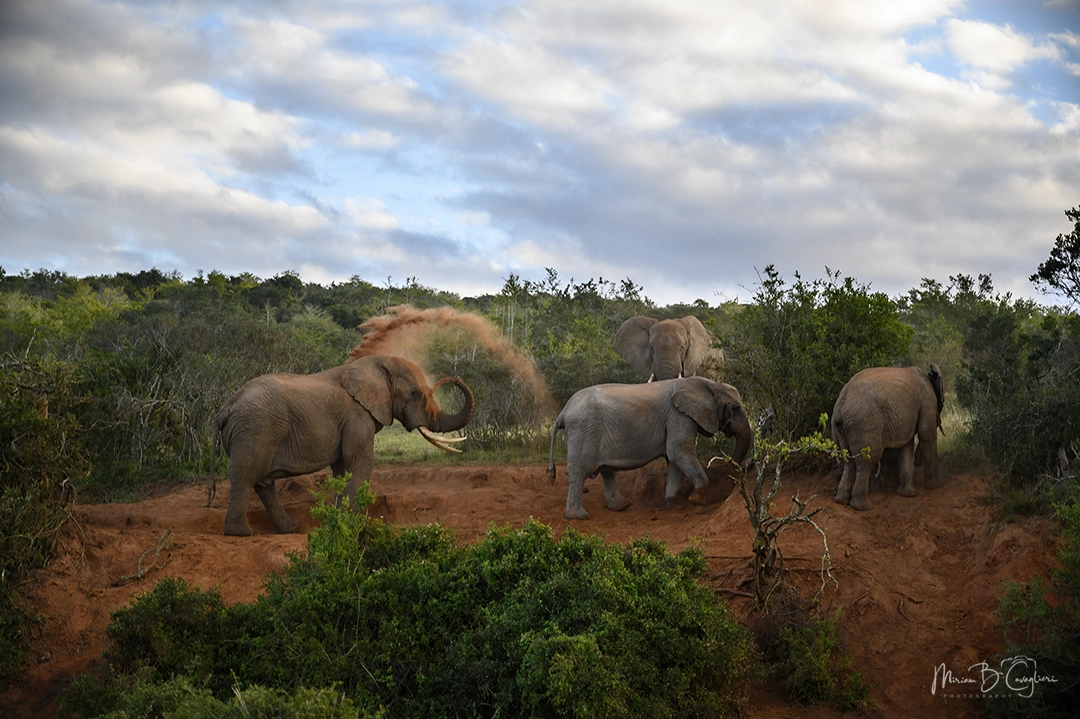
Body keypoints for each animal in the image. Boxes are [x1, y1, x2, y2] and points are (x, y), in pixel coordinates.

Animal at [211, 355, 474, 536]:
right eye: (414, 394)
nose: (456, 378)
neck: (376, 363)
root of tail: (224, 409)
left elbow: (341, 468)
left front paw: (338, 518)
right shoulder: (357, 416)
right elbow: (359, 461)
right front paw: (354, 521)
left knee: (263, 483)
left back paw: (291, 528)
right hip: (254, 431)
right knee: (246, 477)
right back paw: (242, 533)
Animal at [547, 377, 753, 519]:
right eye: (734, 409)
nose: (735, 468)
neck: (708, 383)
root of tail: (563, 412)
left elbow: (673, 460)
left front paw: (670, 506)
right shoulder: (679, 416)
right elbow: (678, 452)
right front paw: (698, 500)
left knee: (607, 471)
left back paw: (623, 506)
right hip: (583, 431)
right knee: (579, 474)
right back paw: (579, 516)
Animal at [831, 364, 944, 511]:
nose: (917, 462)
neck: (929, 375)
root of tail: (839, 406)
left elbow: (906, 445)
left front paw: (907, 495)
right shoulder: (928, 400)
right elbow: (926, 435)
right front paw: (935, 487)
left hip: (843, 428)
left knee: (848, 462)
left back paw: (840, 501)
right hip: (864, 424)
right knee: (866, 462)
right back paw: (863, 507)